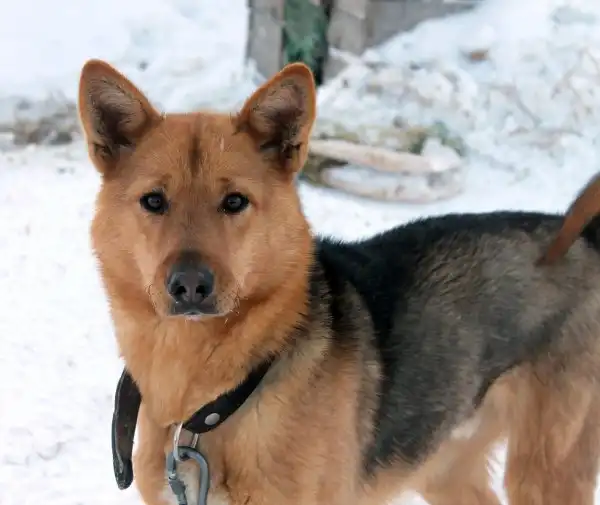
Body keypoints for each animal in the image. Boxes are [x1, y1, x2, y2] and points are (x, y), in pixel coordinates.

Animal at [78, 59, 600, 505]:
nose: (189, 285)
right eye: (153, 201)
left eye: (234, 202)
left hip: (545, 470)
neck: (207, 404)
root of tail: (584, 238)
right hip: (445, 463)